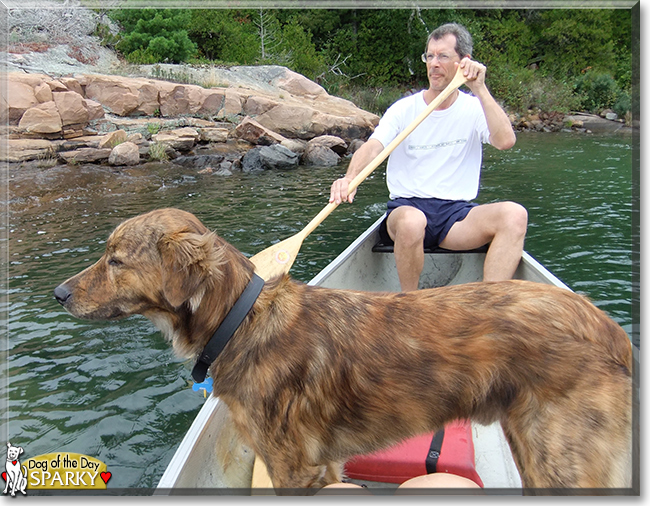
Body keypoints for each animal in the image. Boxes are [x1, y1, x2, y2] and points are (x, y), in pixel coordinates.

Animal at [53, 208, 632, 492]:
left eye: (115, 261)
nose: (58, 293)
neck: (240, 324)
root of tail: (609, 328)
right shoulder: (326, 465)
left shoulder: (292, 469)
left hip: (562, 464)